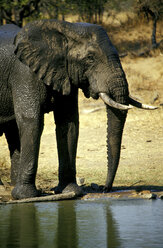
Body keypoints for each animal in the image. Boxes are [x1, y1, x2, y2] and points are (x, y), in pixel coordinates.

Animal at [0, 20, 157, 200]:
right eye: (90, 58)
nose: (104, 188)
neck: (66, 29)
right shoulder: (24, 73)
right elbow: (32, 121)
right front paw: (26, 196)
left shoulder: (65, 73)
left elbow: (68, 124)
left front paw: (71, 192)